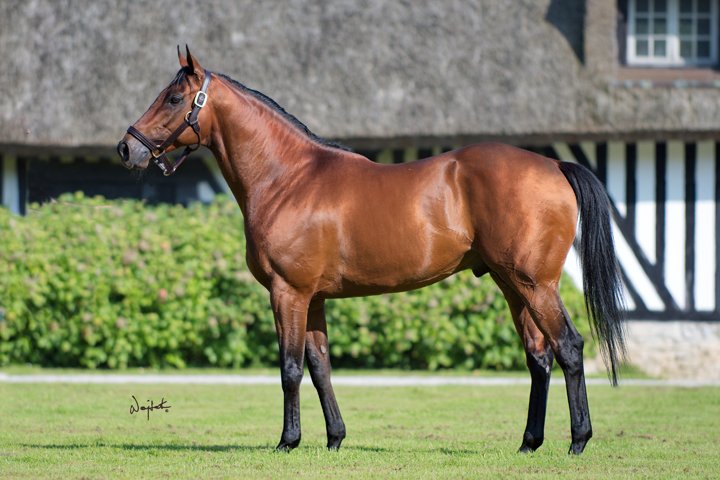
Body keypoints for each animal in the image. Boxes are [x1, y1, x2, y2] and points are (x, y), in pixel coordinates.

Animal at [117, 47, 625, 455]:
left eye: (174, 99)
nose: (126, 148)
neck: (289, 178)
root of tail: (553, 164)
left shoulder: (288, 293)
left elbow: (289, 368)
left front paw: (287, 441)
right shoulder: (314, 298)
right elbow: (320, 366)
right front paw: (334, 438)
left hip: (536, 285)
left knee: (569, 347)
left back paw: (578, 441)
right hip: (512, 285)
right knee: (538, 357)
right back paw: (528, 443)